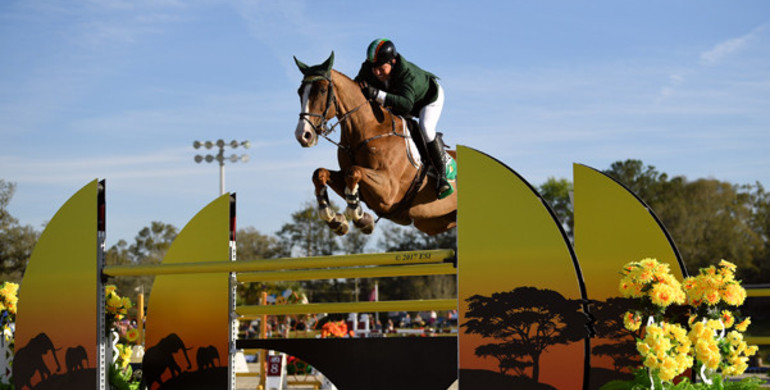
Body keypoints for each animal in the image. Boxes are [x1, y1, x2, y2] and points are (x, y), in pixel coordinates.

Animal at [292, 51, 452, 235]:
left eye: (322, 90)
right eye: (300, 92)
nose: (303, 135)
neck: (367, 129)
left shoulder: (388, 191)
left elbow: (354, 172)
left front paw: (360, 217)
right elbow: (320, 173)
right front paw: (335, 219)